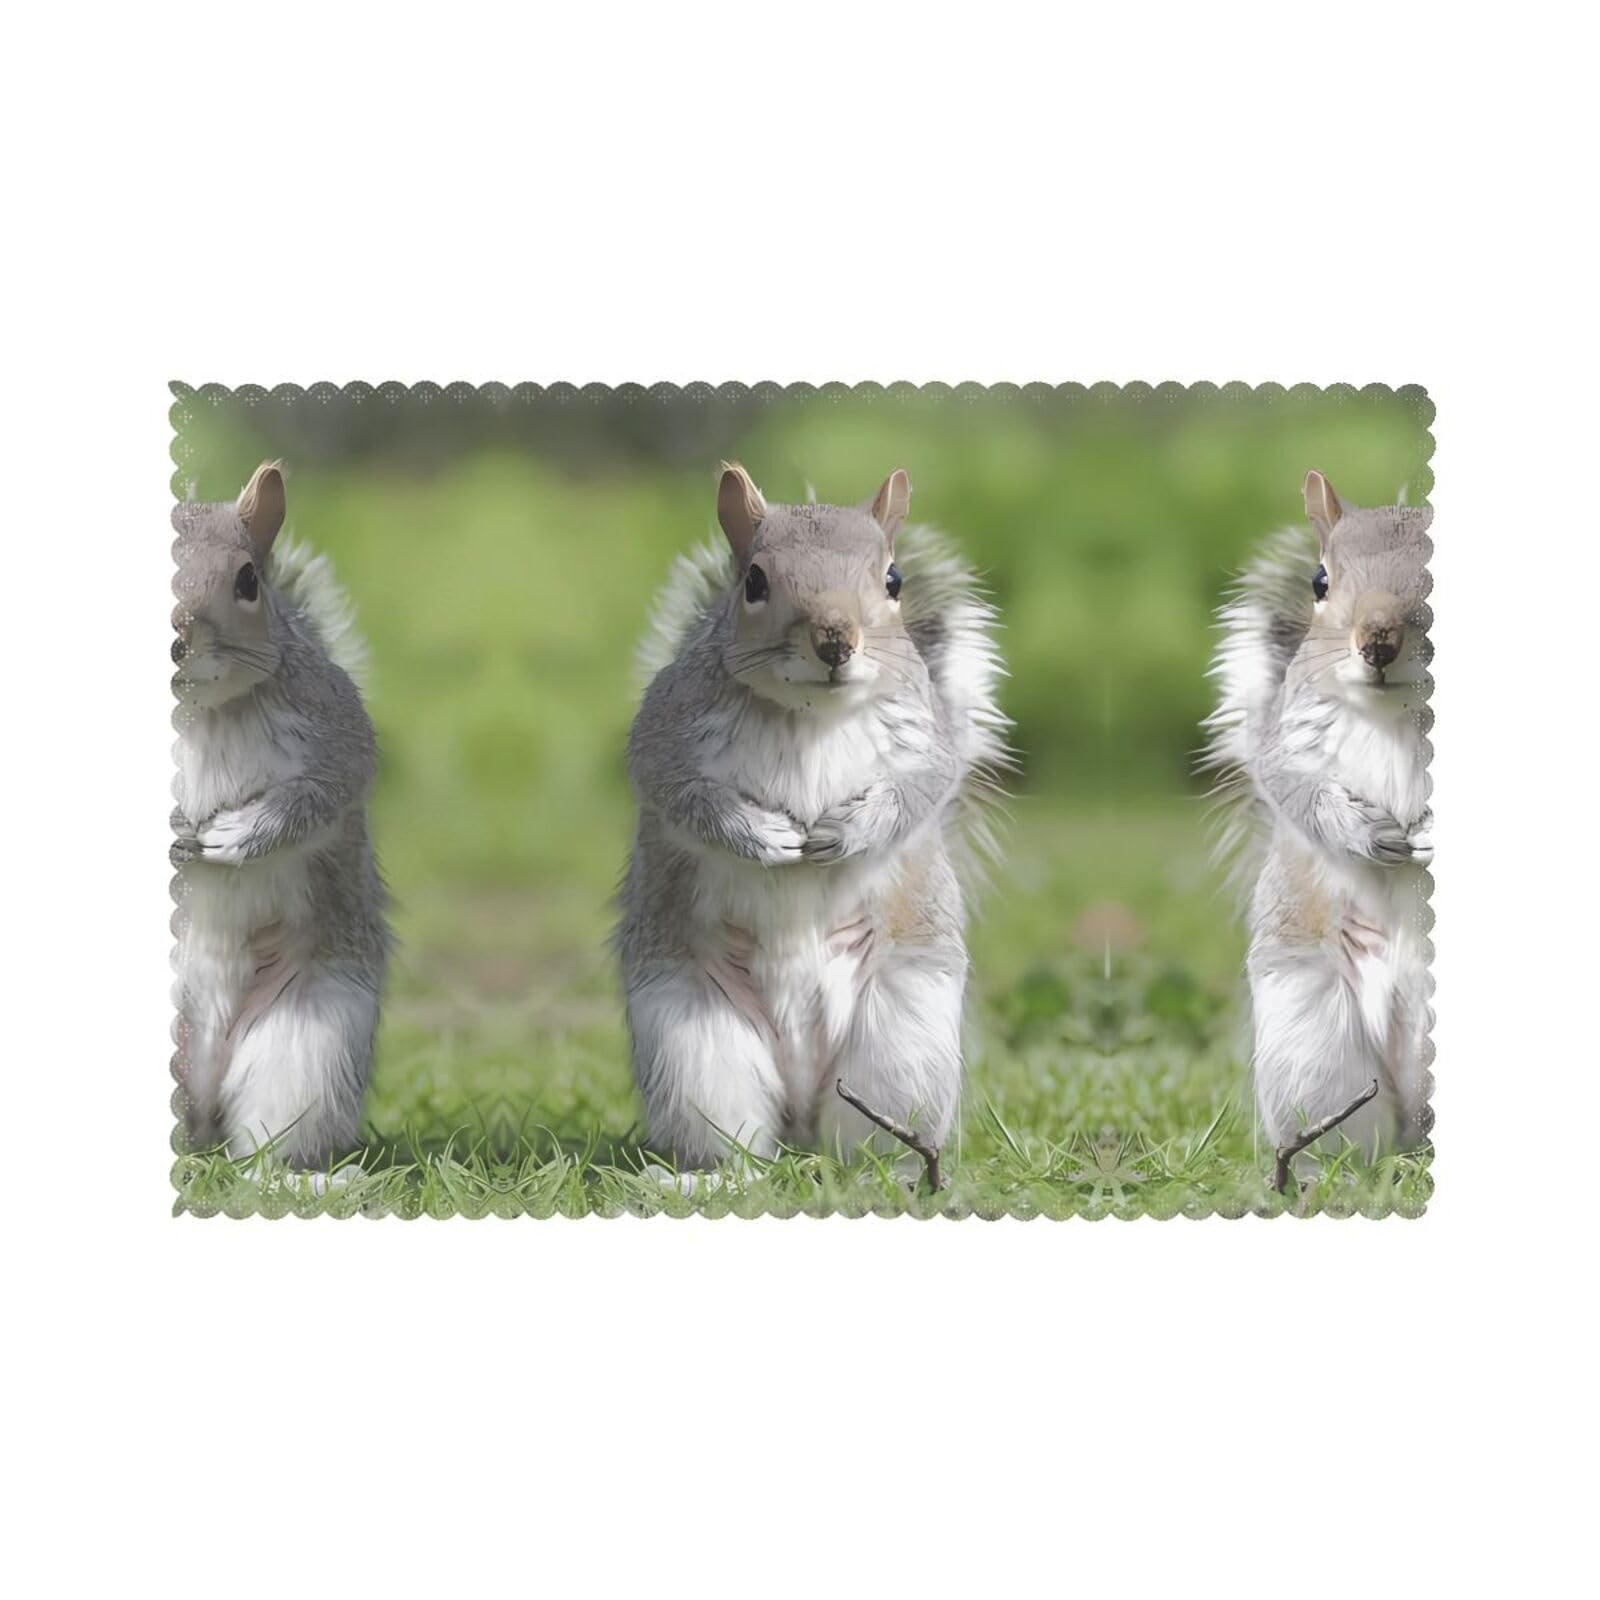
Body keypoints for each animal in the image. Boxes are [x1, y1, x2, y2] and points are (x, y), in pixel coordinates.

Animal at [170, 461, 389, 1170]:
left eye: (248, 580)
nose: (178, 640)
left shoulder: (336, 729)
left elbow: (322, 794)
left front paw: (238, 836)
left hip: (310, 1036)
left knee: (262, 1147)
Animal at [615, 464, 1009, 1171]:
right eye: (753, 581)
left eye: (893, 580)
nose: (835, 640)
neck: (807, 715)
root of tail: (801, 1117)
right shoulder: (662, 731)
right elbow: (678, 791)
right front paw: (760, 835)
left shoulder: (930, 739)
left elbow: (923, 790)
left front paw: (847, 832)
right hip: (691, 1041)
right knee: (736, 1147)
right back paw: (708, 1179)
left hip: (903, 1041)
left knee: (873, 1142)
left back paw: (896, 1174)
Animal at [1204, 470, 1433, 1168]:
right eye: (1320, 580)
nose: (1377, 642)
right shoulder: (1286, 740)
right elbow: (1292, 790)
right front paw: (1365, 831)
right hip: (1311, 1040)